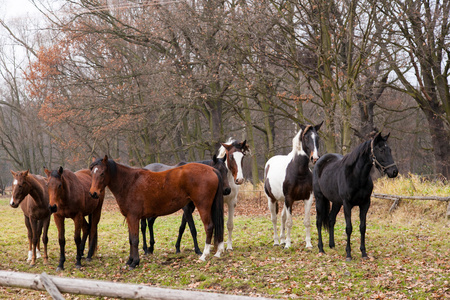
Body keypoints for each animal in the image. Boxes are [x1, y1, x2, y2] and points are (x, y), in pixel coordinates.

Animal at [89, 156, 225, 268]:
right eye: (92, 173)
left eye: (102, 173)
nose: (93, 193)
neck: (129, 183)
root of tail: (211, 169)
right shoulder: (130, 218)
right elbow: (130, 239)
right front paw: (129, 261)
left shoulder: (133, 217)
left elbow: (135, 240)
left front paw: (134, 262)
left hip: (203, 206)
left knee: (209, 227)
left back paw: (203, 255)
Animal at [312, 131, 398, 260]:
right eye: (381, 150)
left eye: (390, 150)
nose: (394, 171)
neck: (356, 176)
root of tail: (319, 161)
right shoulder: (347, 204)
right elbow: (349, 228)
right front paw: (348, 254)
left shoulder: (365, 204)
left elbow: (362, 227)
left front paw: (364, 253)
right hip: (319, 198)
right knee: (318, 221)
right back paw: (321, 249)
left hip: (336, 202)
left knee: (331, 219)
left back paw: (332, 245)